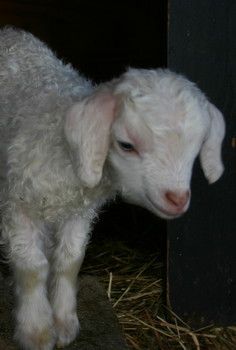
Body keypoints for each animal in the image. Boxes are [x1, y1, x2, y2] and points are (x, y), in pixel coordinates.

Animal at [0, 28, 225, 350]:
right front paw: (37, 332)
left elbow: (70, 260)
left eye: (196, 147)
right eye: (126, 145)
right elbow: (33, 267)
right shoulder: (18, 204)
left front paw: (65, 325)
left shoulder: (80, 211)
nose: (177, 199)